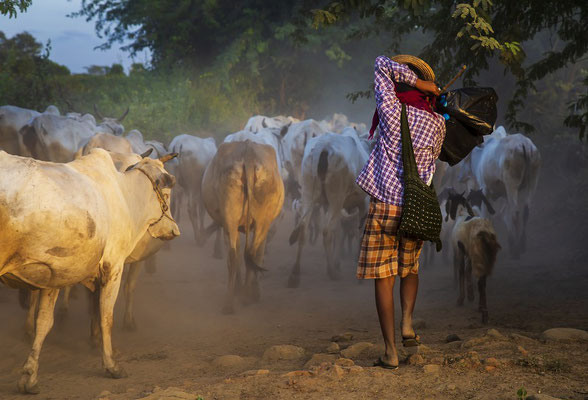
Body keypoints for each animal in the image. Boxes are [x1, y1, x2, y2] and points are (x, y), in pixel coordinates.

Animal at [0, 148, 179, 392]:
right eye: (167, 194)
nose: (174, 230)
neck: (125, 195)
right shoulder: (114, 268)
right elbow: (106, 316)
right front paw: (111, 365)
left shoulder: (55, 275)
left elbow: (44, 322)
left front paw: (30, 376)